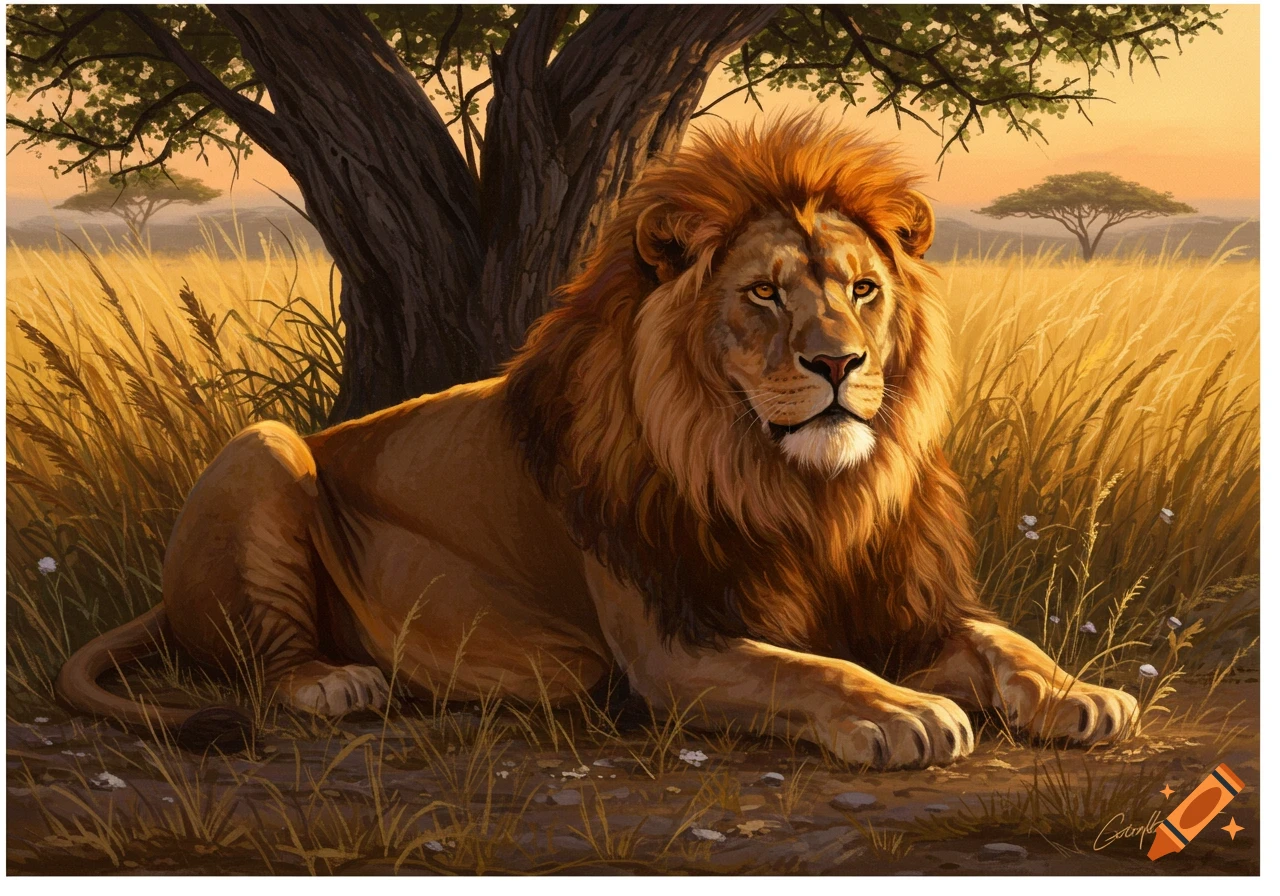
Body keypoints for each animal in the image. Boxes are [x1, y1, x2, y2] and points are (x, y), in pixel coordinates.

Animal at [57, 118, 1138, 767]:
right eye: (763, 292)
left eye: (862, 288)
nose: (839, 362)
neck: (796, 487)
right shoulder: (669, 643)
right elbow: (805, 669)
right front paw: (898, 711)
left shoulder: (903, 605)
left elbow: (1001, 637)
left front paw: (1081, 691)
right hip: (264, 445)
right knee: (257, 661)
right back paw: (338, 678)